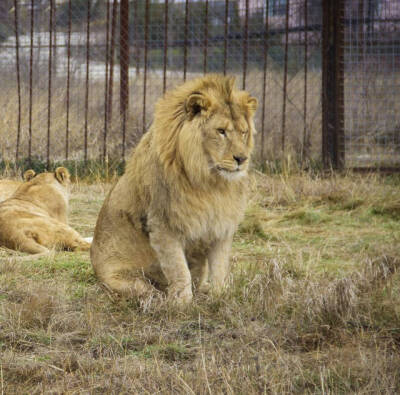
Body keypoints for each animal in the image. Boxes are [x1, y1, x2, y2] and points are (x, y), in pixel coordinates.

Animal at [91, 73, 256, 304]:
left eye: (244, 132)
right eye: (221, 131)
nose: (242, 159)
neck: (210, 182)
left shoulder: (221, 226)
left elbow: (219, 268)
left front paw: (219, 297)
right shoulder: (163, 225)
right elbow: (179, 269)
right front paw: (182, 303)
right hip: (125, 280)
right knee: (147, 290)